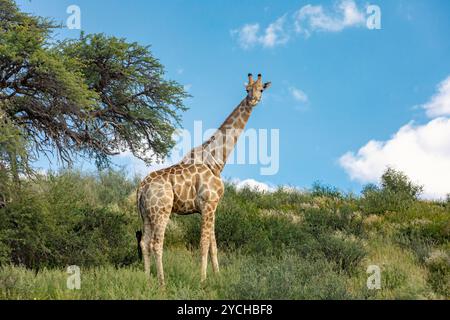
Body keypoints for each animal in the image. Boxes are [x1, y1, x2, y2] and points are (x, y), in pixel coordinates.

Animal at [137, 72, 270, 284]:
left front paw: (218, 277)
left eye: (261, 89)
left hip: (146, 213)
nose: (253, 100)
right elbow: (204, 244)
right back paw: (162, 282)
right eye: (247, 89)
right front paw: (202, 280)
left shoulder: (212, 207)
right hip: (162, 210)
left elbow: (213, 245)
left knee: (144, 242)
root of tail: (141, 187)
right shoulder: (207, 204)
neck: (215, 161)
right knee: (156, 243)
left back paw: (147, 278)